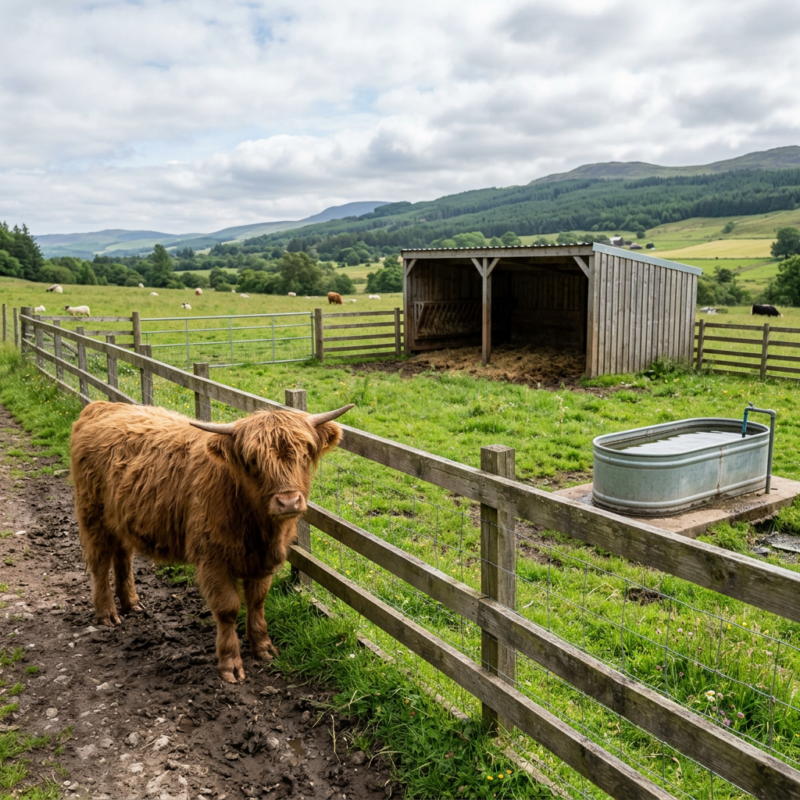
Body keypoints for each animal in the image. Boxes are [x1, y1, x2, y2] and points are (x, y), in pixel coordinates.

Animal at [70, 401, 353, 683]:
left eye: (304, 455)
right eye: (253, 461)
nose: (288, 501)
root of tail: (102, 406)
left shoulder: (262, 561)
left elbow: (257, 602)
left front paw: (263, 647)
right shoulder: (213, 559)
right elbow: (228, 609)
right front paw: (231, 664)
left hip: (120, 519)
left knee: (123, 557)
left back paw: (131, 603)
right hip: (93, 515)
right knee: (100, 563)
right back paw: (107, 613)